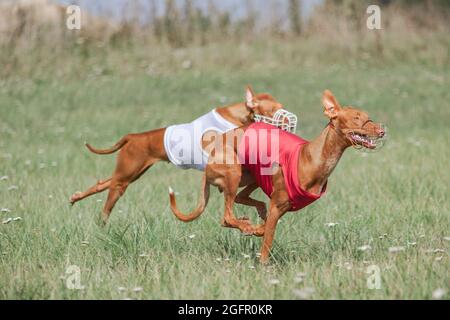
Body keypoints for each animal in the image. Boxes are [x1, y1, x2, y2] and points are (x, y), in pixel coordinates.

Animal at [71, 86, 288, 224]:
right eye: (275, 109)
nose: (289, 119)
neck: (236, 116)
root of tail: (133, 136)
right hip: (125, 176)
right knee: (107, 202)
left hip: (131, 174)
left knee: (102, 184)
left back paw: (76, 197)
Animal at [170, 89, 386, 262]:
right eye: (356, 118)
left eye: (367, 116)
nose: (382, 130)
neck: (311, 157)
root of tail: (211, 154)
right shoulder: (277, 207)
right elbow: (267, 243)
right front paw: (263, 266)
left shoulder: (281, 208)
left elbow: (266, 230)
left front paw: (258, 228)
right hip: (233, 171)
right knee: (227, 217)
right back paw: (247, 225)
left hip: (252, 175)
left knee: (242, 198)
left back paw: (253, 220)